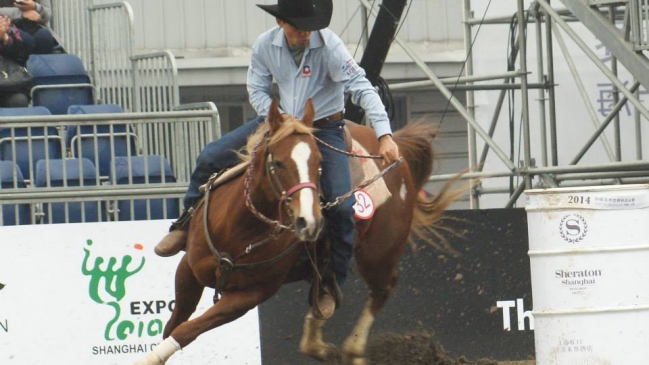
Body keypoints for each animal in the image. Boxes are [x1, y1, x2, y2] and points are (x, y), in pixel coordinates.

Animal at [134, 97, 458, 364]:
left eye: (319, 163)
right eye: (277, 163)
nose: (308, 221)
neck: (238, 230)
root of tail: (394, 150)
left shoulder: (250, 295)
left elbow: (188, 329)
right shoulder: (187, 270)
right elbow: (174, 323)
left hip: (379, 254)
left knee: (382, 288)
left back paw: (351, 350)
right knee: (324, 293)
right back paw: (320, 344)